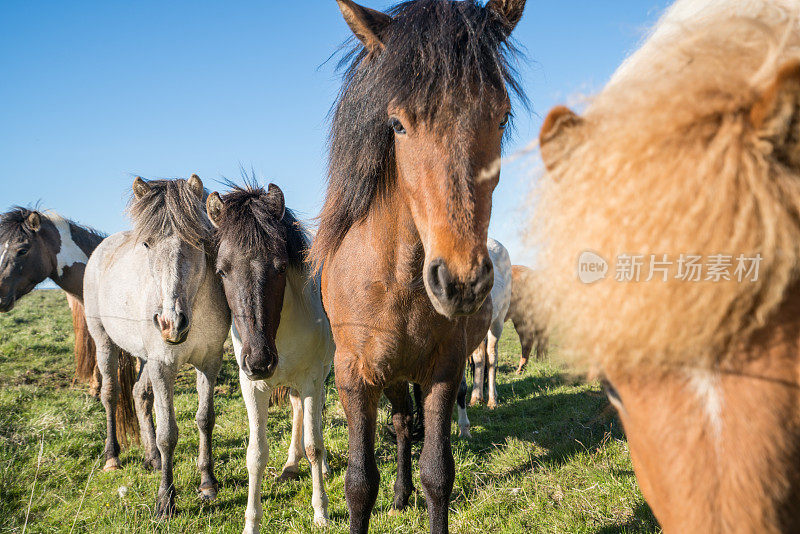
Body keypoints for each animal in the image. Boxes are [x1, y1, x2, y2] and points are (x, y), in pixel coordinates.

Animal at [83, 177, 230, 520]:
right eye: (147, 245)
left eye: (198, 240)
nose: (170, 322)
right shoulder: (163, 365)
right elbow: (168, 434)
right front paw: (166, 501)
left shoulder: (210, 361)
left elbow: (205, 419)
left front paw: (208, 483)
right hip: (104, 342)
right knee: (111, 394)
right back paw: (113, 457)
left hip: (145, 357)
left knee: (139, 394)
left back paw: (152, 458)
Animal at [206, 183, 334, 532]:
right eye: (222, 271)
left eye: (280, 266)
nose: (259, 361)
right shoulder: (252, 387)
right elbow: (256, 454)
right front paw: (252, 522)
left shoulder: (312, 378)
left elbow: (314, 445)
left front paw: (321, 512)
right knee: (297, 410)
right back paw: (290, 465)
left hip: (321, 375)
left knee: (313, 418)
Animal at [310, 2, 528, 532]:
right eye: (397, 124)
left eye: (503, 116)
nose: (461, 281)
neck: (394, 278)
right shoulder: (354, 377)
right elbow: (359, 483)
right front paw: (387, 492)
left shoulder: (443, 371)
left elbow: (438, 474)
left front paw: (420, 487)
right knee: (400, 423)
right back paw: (398, 493)